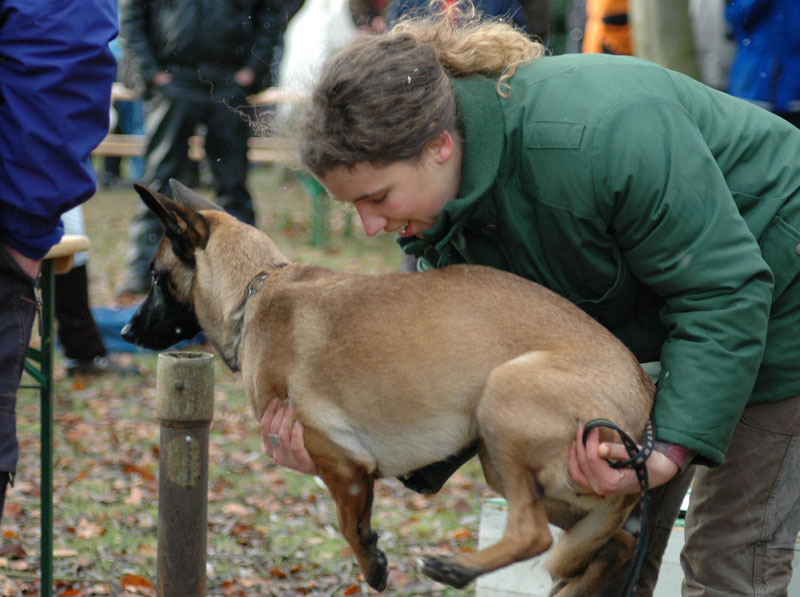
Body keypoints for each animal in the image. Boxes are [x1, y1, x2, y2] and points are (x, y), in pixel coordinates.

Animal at [122, 179, 652, 592]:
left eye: (156, 278)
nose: (126, 332)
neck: (256, 288)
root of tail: (644, 398)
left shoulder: (341, 462)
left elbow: (349, 525)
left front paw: (373, 567)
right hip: (510, 466)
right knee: (616, 545)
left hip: (504, 398)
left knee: (534, 535)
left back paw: (456, 568)